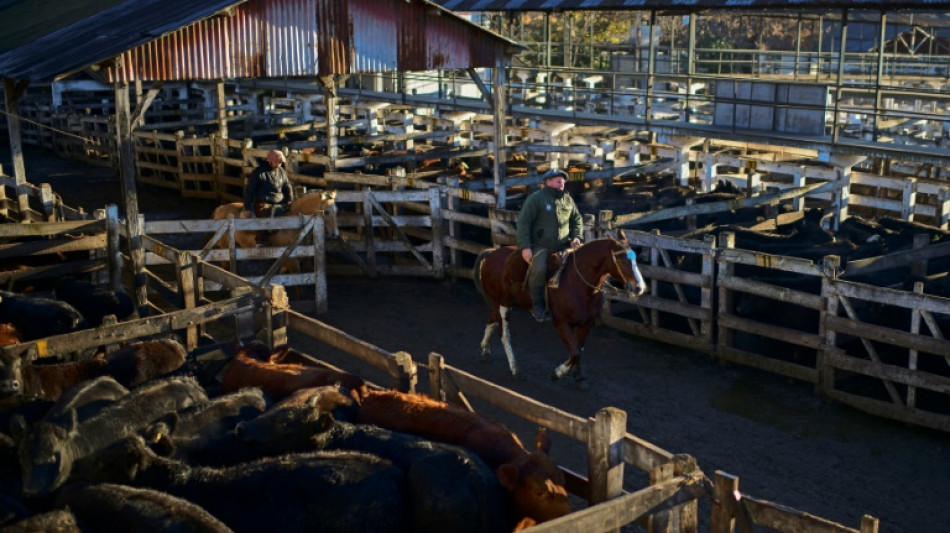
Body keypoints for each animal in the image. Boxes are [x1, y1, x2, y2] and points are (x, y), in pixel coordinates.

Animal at [474, 233, 648, 386]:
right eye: (622, 260)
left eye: (635, 258)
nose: (640, 287)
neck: (577, 283)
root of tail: (491, 253)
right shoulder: (561, 323)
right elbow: (575, 351)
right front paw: (557, 373)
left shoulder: (586, 322)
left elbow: (578, 349)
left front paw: (578, 377)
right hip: (503, 304)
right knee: (505, 335)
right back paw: (515, 369)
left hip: (502, 303)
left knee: (491, 321)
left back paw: (484, 351)